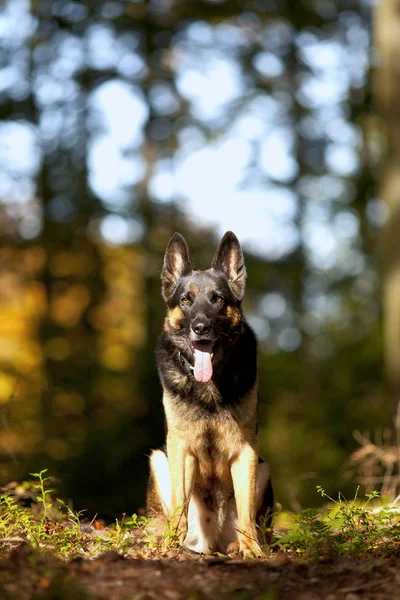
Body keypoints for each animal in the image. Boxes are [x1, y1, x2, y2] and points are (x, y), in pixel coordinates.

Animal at [145, 231, 274, 556]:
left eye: (218, 299)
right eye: (186, 300)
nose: (200, 327)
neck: (208, 387)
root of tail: (210, 542)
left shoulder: (246, 451)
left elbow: (245, 511)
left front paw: (252, 549)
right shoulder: (179, 447)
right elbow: (180, 503)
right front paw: (170, 545)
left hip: (264, 469)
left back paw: (237, 545)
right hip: (158, 460)